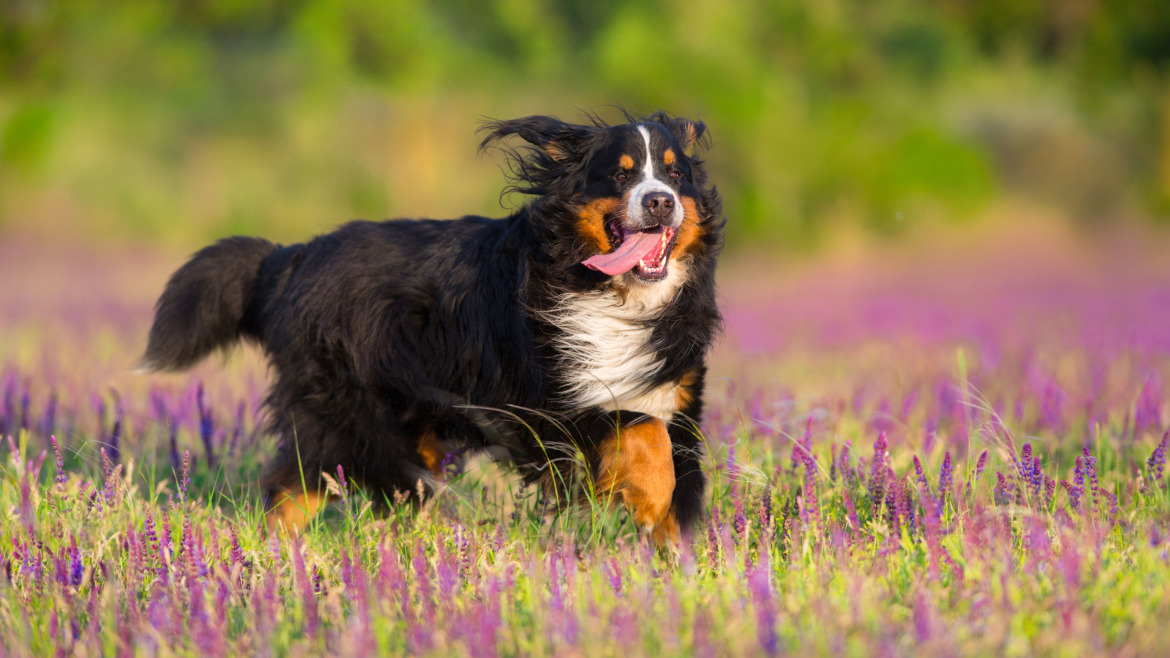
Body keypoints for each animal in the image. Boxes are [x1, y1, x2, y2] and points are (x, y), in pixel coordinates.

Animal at [142, 112, 725, 543]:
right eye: (621, 174)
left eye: (675, 174)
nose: (660, 200)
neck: (616, 297)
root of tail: (293, 256)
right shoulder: (549, 405)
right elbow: (637, 427)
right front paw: (648, 500)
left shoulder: (676, 397)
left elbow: (671, 467)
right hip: (351, 415)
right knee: (321, 484)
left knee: (327, 488)